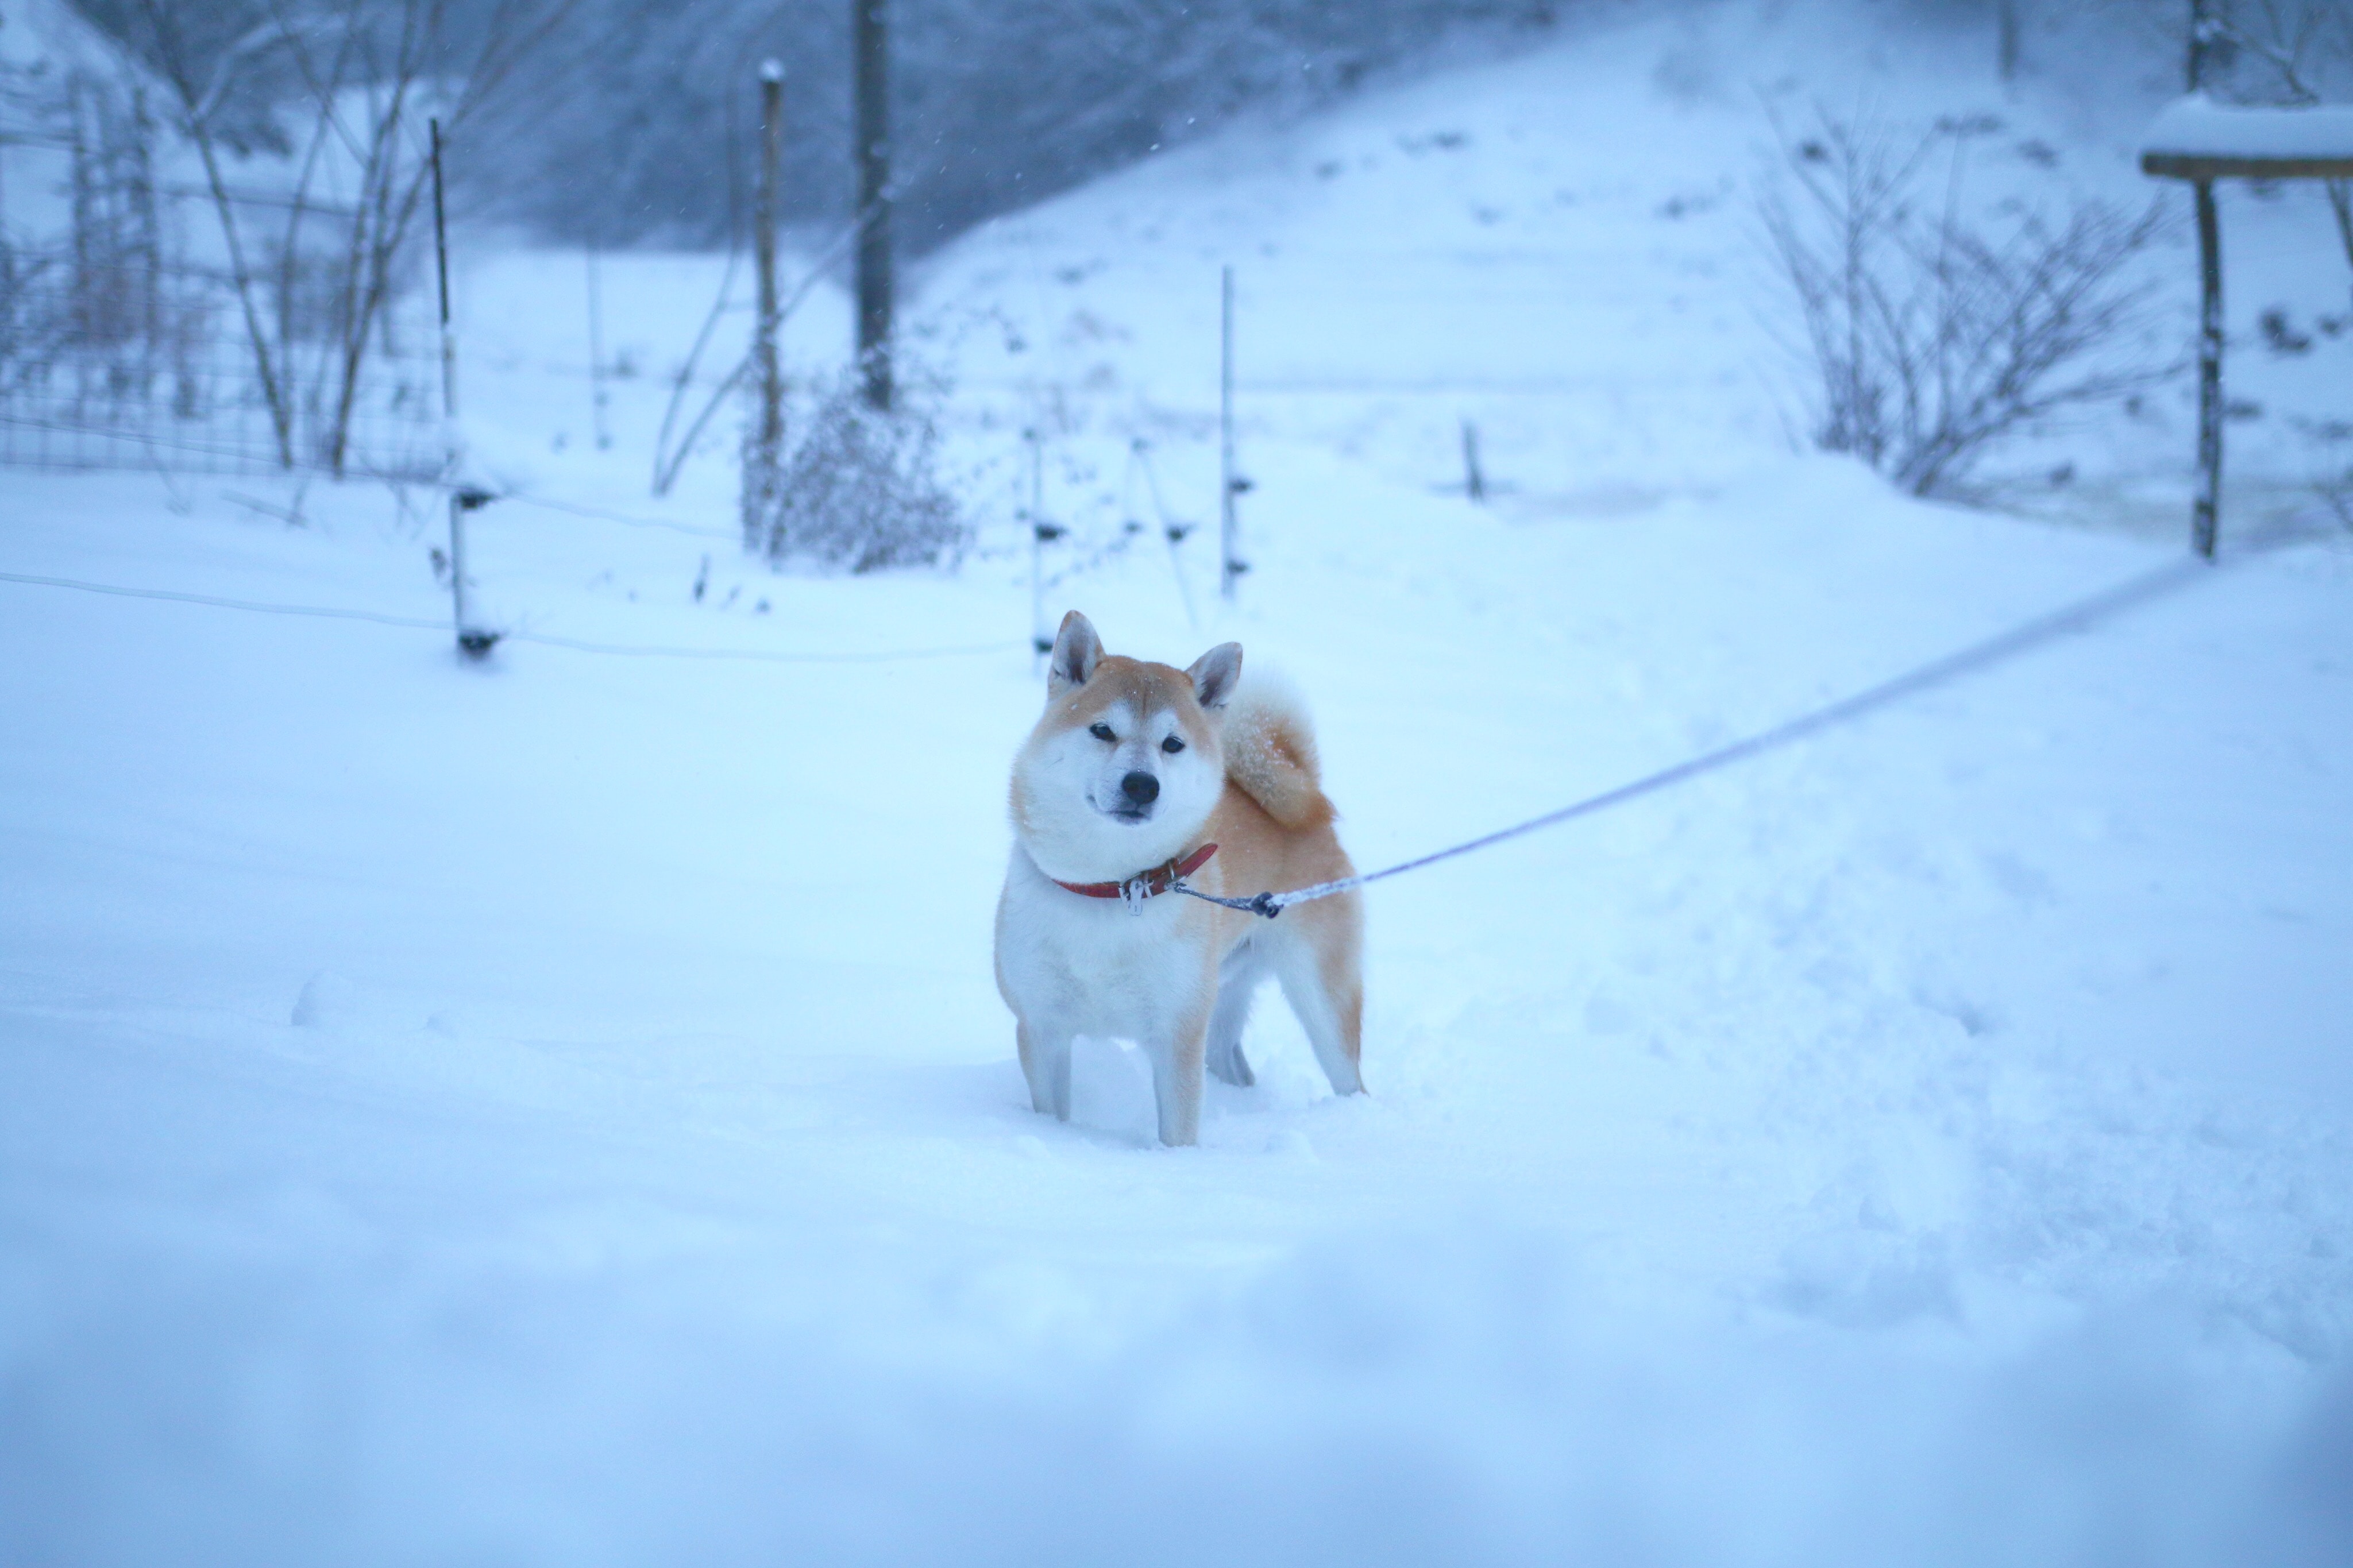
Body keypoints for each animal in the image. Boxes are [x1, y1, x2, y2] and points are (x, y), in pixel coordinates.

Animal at [993, 606, 1364, 1147]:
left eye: (1173, 744)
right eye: (1102, 731)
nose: (1141, 785)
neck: (1113, 888)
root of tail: (1306, 805)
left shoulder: (1176, 1036)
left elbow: (1177, 1133)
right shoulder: (1042, 1029)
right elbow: (1051, 1111)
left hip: (1321, 998)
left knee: (1349, 1076)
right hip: (1224, 995)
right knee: (1232, 1062)